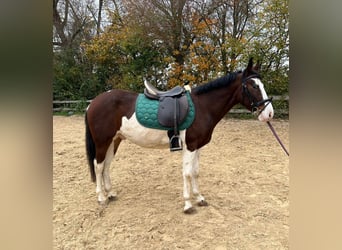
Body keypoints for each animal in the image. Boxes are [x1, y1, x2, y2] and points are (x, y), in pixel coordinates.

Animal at [86, 58, 276, 213]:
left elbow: (196, 172)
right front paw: (188, 204)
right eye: (254, 86)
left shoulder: (198, 147)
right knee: (98, 166)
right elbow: (187, 173)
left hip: (114, 141)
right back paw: (101, 197)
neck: (202, 107)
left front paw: (199, 198)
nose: (269, 114)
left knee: (106, 165)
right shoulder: (190, 146)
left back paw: (110, 193)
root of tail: (93, 103)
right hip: (102, 142)